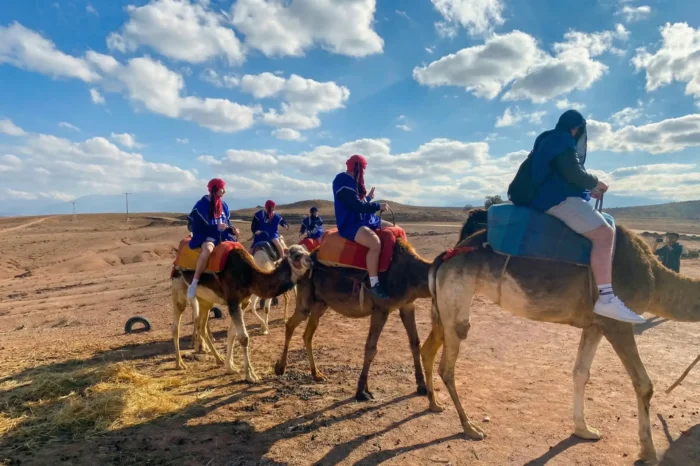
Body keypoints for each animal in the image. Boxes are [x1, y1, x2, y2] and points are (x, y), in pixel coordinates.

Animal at [171, 244, 313, 382]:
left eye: (306, 251)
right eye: (297, 255)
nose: (311, 261)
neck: (249, 275)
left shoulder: (243, 302)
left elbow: (232, 334)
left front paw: (230, 367)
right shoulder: (233, 302)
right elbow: (244, 338)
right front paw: (251, 376)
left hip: (205, 301)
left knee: (202, 327)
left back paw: (218, 359)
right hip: (179, 293)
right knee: (176, 327)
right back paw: (180, 364)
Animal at [275, 237, 432, 401]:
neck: (408, 272)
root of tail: (307, 258)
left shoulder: (407, 305)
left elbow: (415, 343)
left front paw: (421, 386)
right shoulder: (380, 309)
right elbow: (370, 348)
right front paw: (361, 391)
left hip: (321, 303)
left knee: (307, 334)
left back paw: (316, 374)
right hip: (306, 297)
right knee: (291, 323)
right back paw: (280, 367)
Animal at [420, 208, 700, 464]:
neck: (654, 277)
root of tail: (444, 256)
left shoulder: (595, 325)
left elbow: (580, 373)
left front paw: (584, 429)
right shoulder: (618, 322)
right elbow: (644, 384)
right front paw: (648, 452)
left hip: (444, 303)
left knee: (429, 348)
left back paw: (435, 404)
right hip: (457, 297)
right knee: (447, 365)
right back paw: (470, 427)